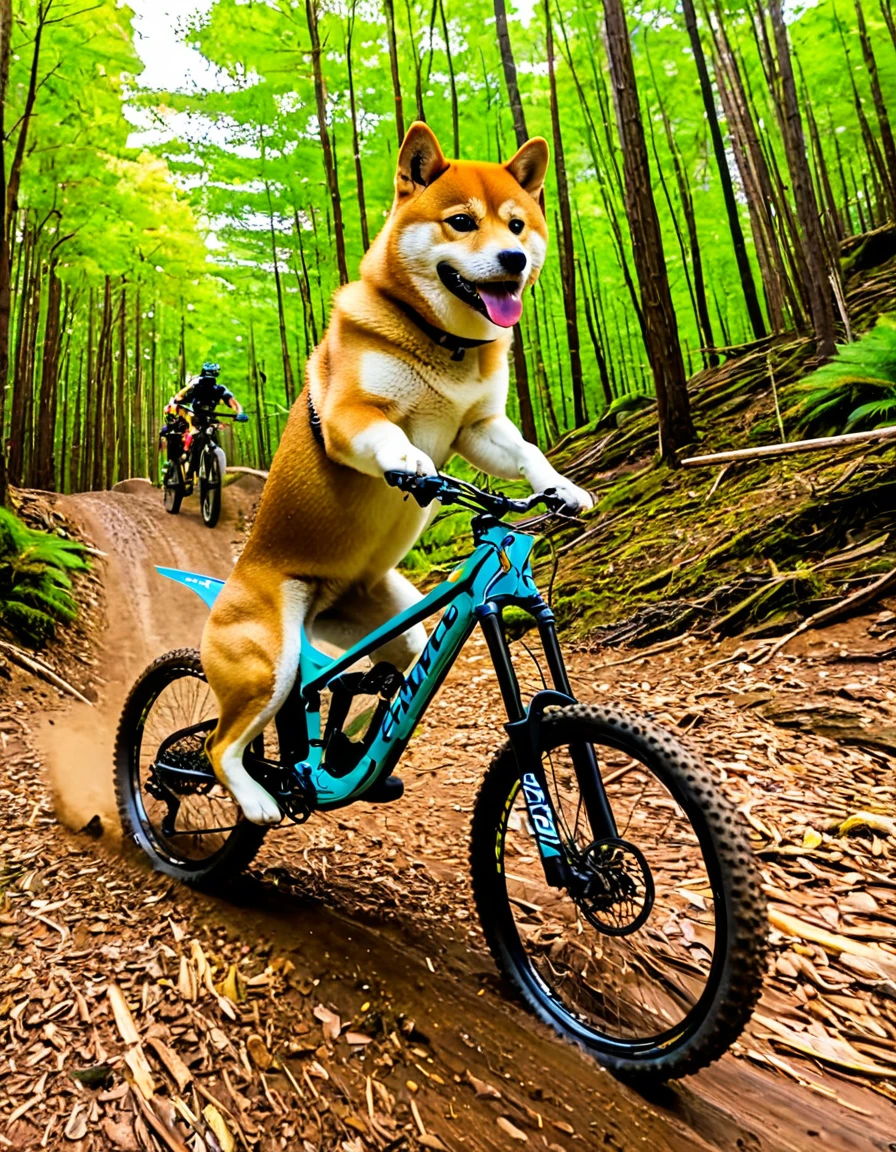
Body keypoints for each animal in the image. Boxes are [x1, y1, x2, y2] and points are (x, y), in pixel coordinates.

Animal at [202, 121, 594, 824]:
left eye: (517, 226)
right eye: (461, 221)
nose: (514, 260)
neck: (446, 347)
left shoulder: (480, 429)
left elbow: (526, 453)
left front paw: (562, 487)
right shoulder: (348, 415)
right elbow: (387, 436)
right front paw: (412, 462)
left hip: (391, 624)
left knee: (374, 682)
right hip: (269, 664)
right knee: (219, 746)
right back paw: (258, 797)